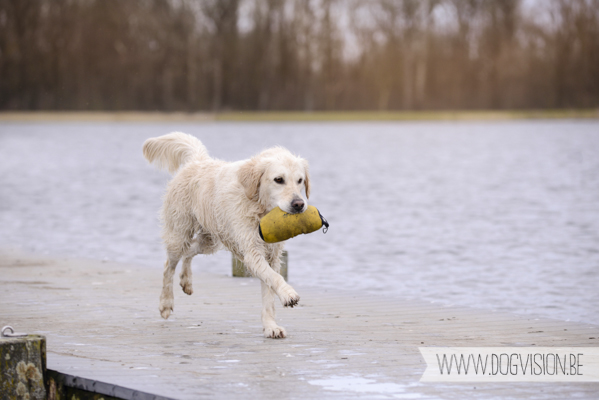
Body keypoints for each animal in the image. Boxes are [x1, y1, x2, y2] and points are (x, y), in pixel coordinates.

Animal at [142, 132, 310, 338]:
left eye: (300, 180)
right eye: (279, 179)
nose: (299, 204)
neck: (259, 207)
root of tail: (198, 160)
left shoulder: (271, 254)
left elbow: (268, 290)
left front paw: (271, 326)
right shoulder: (253, 252)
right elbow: (275, 278)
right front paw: (288, 294)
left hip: (210, 240)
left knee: (189, 253)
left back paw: (186, 280)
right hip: (179, 234)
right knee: (168, 265)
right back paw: (165, 303)